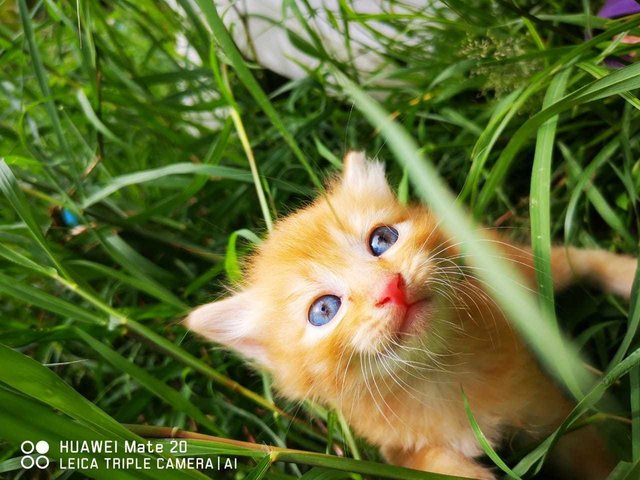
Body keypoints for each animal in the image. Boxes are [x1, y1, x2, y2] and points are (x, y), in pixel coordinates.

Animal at [185, 152, 636, 478]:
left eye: (382, 240)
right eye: (324, 310)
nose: (391, 288)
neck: (436, 377)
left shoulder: (553, 412)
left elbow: (598, 456)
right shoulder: (398, 450)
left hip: (514, 270)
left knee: (573, 259)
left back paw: (627, 276)